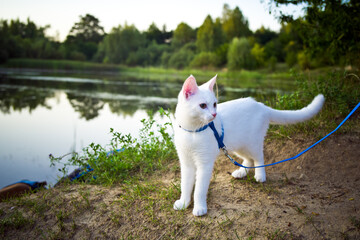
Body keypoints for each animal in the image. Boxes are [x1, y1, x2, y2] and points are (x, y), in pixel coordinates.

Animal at [173, 74, 324, 216]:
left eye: (215, 104)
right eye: (203, 105)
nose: (214, 114)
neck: (192, 131)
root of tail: (261, 106)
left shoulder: (204, 164)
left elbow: (199, 189)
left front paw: (199, 208)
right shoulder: (186, 163)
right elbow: (185, 185)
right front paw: (184, 202)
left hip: (252, 143)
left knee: (259, 158)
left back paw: (260, 175)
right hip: (239, 146)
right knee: (249, 160)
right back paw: (241, 172)